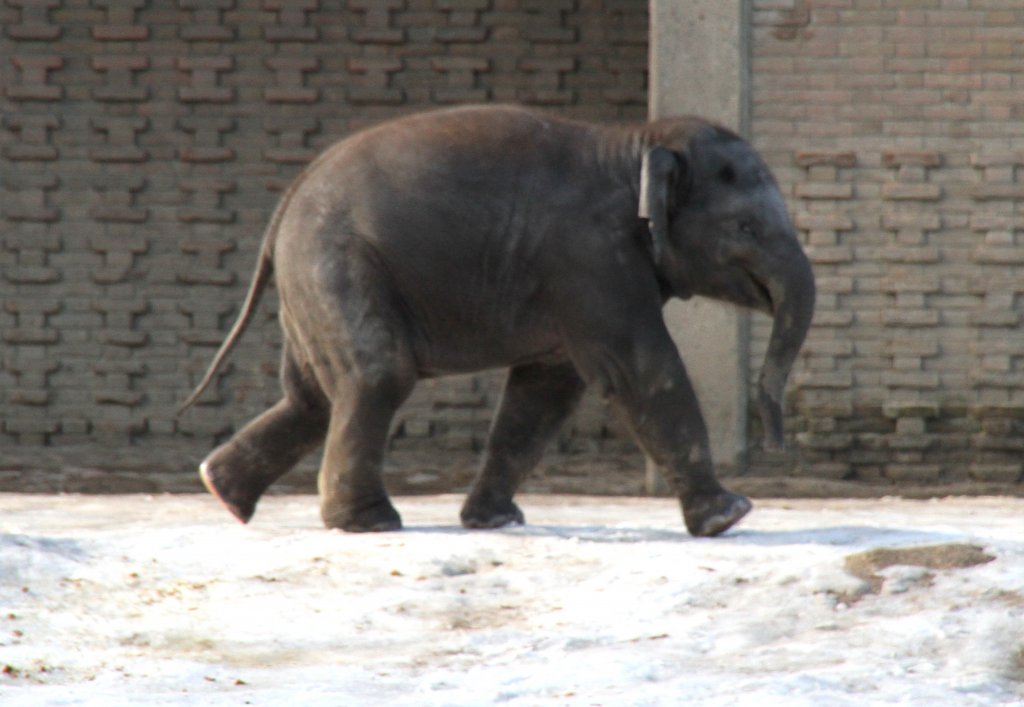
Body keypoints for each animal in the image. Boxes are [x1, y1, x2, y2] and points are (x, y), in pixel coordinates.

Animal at [178, 103, 815, 532]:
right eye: (745, 228)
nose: (778, 446)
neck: (638, 142)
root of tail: (287, 202)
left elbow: (548, 388)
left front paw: (496, 521)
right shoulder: (589, 257)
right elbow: (639, 368)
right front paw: (729, 518)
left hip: (313, 280)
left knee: (314, 396)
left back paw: (222, 490)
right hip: (335, 262)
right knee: (376, 376)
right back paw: (368, 523)